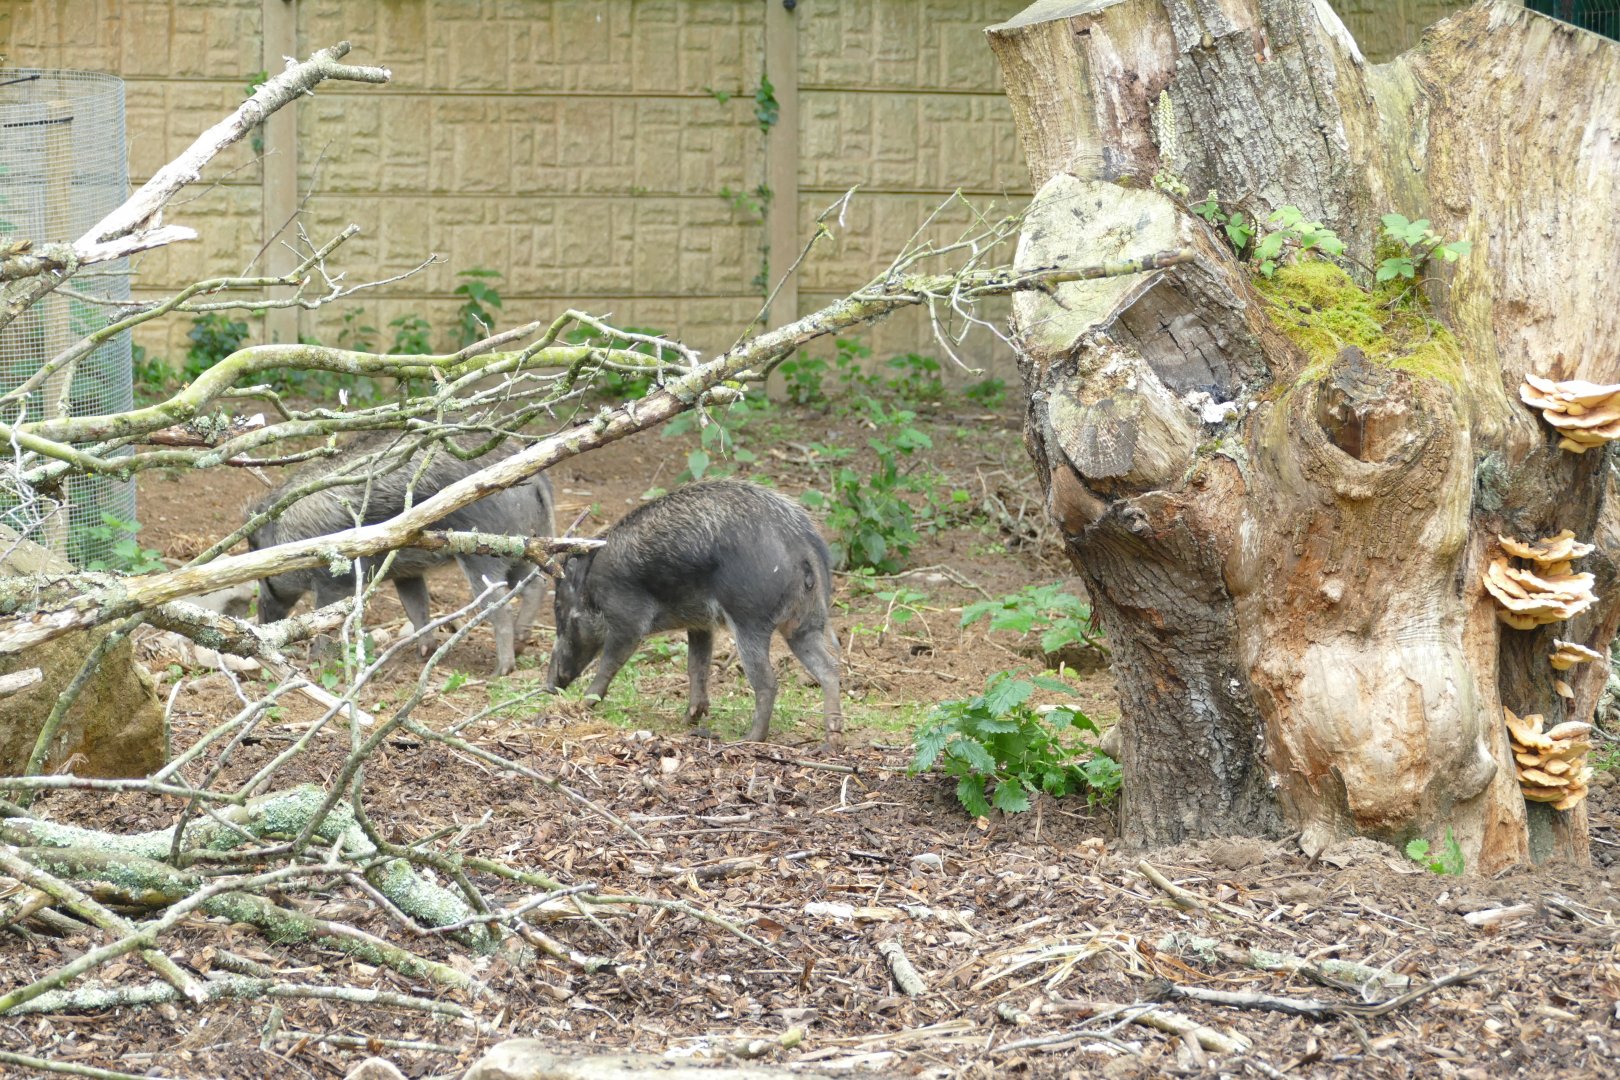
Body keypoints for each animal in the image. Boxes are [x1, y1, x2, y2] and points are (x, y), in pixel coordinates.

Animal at [246, 436, 554, 676]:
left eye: (262, 572)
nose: (262, 619)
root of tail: (537, 479)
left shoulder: (336, 583)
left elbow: (325, 621)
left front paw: (316, 664)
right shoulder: (406, 573)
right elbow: (417, 607)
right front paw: (422, 653)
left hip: (484, 557)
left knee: (501, 607)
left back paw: (500, 671)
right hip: (525, 548)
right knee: (535, 586)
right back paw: (520, 644)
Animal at [546, 478, 843, 745]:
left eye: (559, 608)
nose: (548, 687)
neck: (591, 583)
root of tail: (802, 544)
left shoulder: (627, 620)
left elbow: (609, 662)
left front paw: (584, 704)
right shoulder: (701, 625)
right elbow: (697, 666)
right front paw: (690, 719)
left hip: (750, 621)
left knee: (768, 681)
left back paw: (749, 739)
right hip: (805, 624)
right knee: (829, 668)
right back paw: (832, 737)